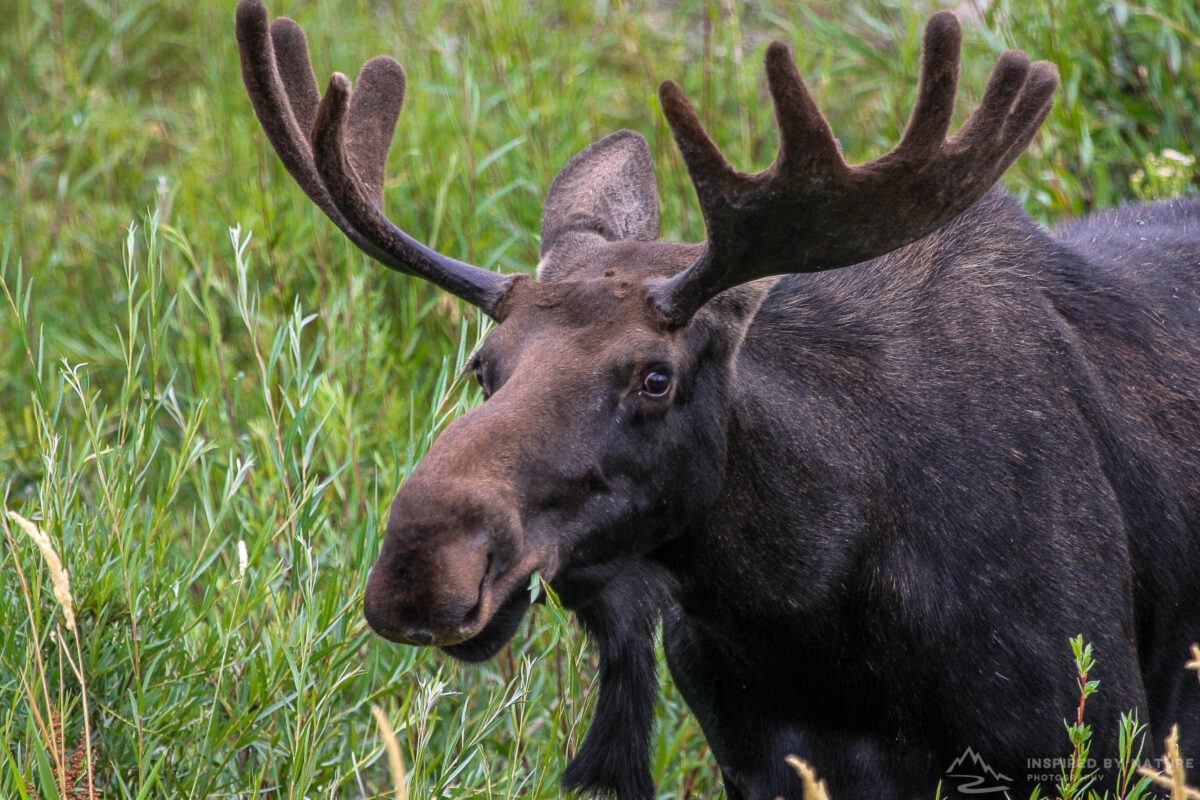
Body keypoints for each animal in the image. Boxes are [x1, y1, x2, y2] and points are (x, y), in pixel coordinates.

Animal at [235, 2, 1200, 798]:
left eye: (656, 378)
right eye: (484, 366)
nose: (421, 566)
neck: (811, 601)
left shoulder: (1091, 740)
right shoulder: (759, 762)